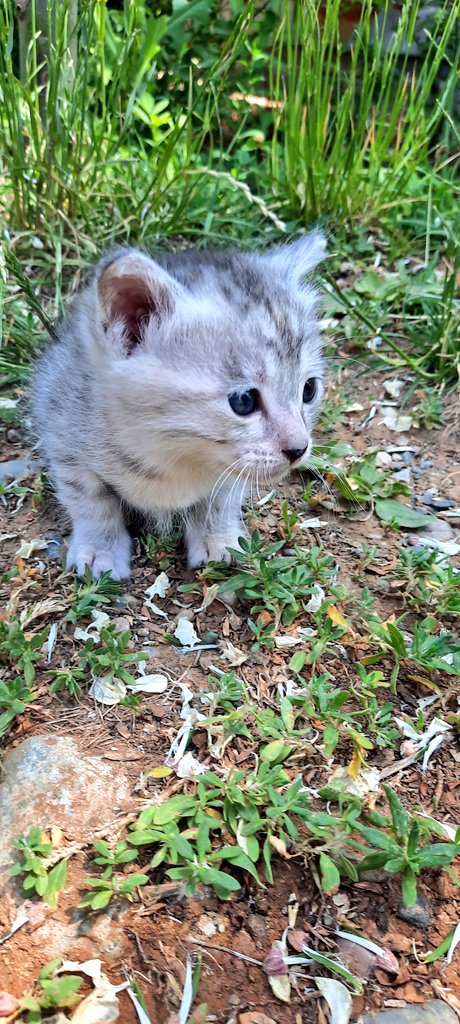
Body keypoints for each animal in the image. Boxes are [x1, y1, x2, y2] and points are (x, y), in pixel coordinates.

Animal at [30, 234, 323, 581]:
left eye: (309, 390)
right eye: (243, 401)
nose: (299, 448)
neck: (169, 456)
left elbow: (219, 499)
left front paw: (216, 538)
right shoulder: (63, 434)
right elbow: (90, 502)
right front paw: (100, 549)